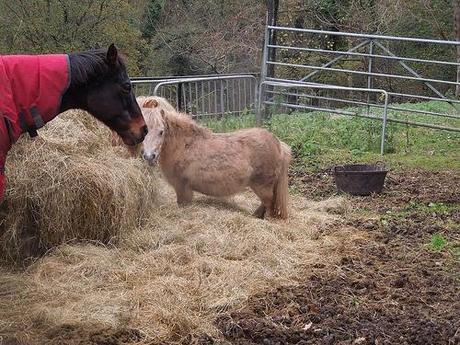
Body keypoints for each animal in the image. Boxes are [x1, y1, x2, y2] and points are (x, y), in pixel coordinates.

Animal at [140, 97, 292, 219]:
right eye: (144, 132)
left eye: (161, 132)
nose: (149, 156)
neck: (185, 146)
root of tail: (278, 143)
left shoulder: (182, 189)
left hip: (263, 186)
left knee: (268, 204)